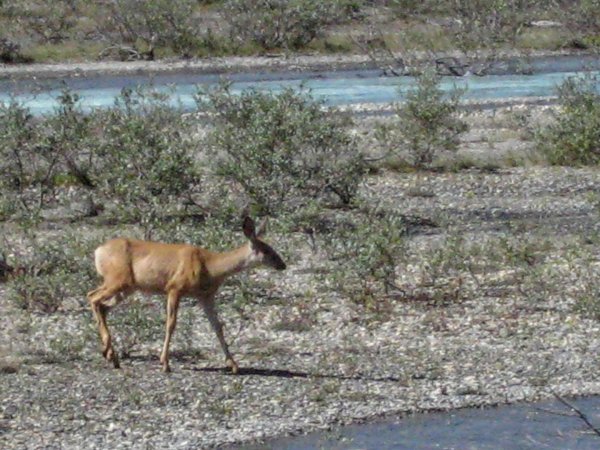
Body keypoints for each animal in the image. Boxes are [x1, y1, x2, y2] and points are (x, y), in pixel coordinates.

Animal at [85, 217, 288, 372]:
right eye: (267, 251)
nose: (283, 264)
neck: (210, 266)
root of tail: (98, 250)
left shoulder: (205, 296)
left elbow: (217, 327)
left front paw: (234, 365)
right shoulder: (175, 287)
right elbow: (171, 324)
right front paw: (165, 363)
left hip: (127, 287)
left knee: (102, 306)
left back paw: (110, 355)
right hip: (117, 279)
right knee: (92, 296)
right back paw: (110, 353)